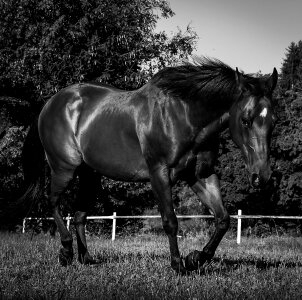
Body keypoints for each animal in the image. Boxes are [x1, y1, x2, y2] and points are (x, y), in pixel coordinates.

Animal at [18, 56, 278, 274]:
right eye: (245, 120)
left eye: (274, 121)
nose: (262, 176)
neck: (183, 115)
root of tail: (51, 103)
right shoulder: (159, 174)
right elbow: (170, 221)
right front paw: (178, 265)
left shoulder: (201, 175)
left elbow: (223, 219)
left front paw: (195, 258)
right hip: (64, 169)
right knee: (53, 202)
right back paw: (65, 252)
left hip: (90, 174)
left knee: (80, 214)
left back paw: (86, 258)